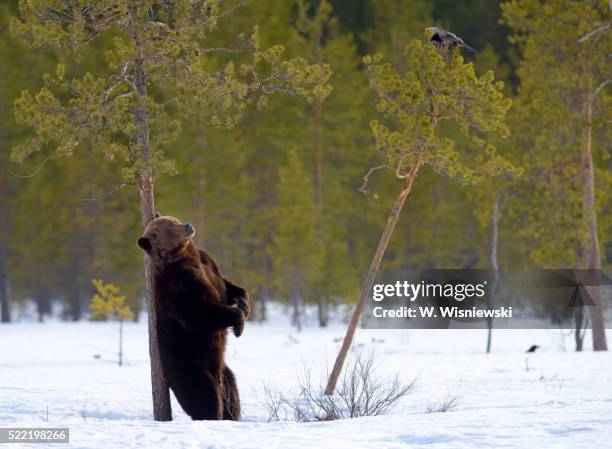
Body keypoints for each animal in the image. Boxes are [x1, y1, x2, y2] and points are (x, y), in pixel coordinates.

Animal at [137, 214, 250, 420]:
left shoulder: (209, 265)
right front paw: (238, 323)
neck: (186, 257)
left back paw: (231, 416)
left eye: (173, 219)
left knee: (232, 396)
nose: (188, 226)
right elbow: (198, 312)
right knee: (205, 398)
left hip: (225, 373)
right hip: (189, 366)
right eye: (169, 229)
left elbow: (228, 286)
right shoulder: (180, 284)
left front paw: (244, 306)